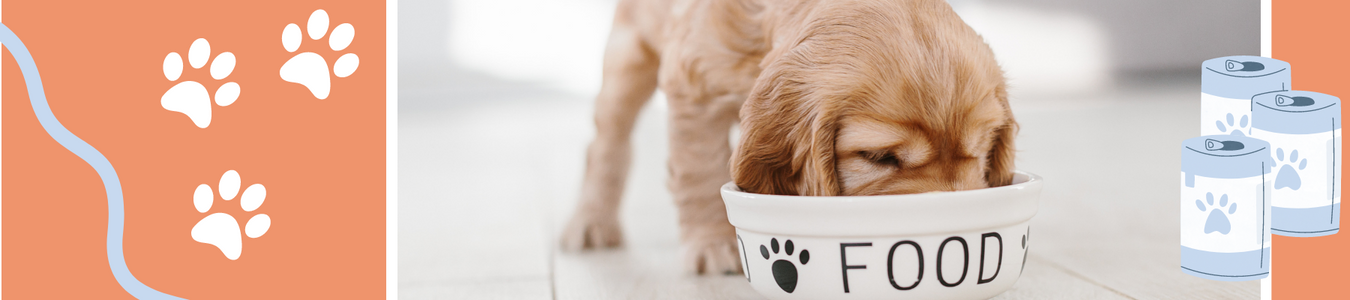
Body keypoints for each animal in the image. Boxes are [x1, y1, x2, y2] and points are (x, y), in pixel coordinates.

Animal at [556, 0, 1015, 274]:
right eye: (879, 157)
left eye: (981, 152)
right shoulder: (694, 83)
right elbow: (699, 172)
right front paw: (711, 246)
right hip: (627, 54)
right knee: (606, 143)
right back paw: (591, 222)